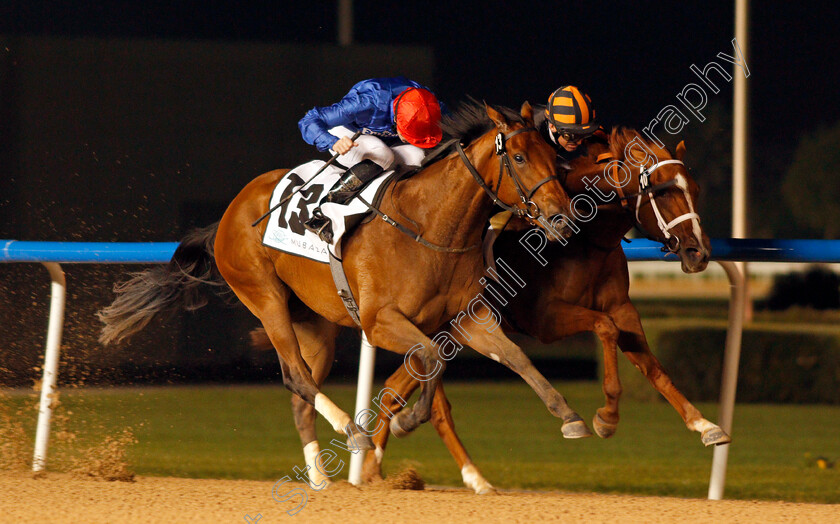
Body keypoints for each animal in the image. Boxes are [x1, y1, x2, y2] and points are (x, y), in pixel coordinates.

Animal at [98, 99, 592, 478]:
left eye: (557, 159)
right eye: (521, 158)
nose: (563, 218)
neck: (430, 227)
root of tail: (228, 213)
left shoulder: (467, 316)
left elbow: (516, 357)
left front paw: (570, 417)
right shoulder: (380, 322)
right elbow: (431, 357)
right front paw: (408, 420)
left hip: (315, 323)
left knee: (300, 393)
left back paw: (319, 478)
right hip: (265, 298)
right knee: (296, 375)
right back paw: (352, 432)